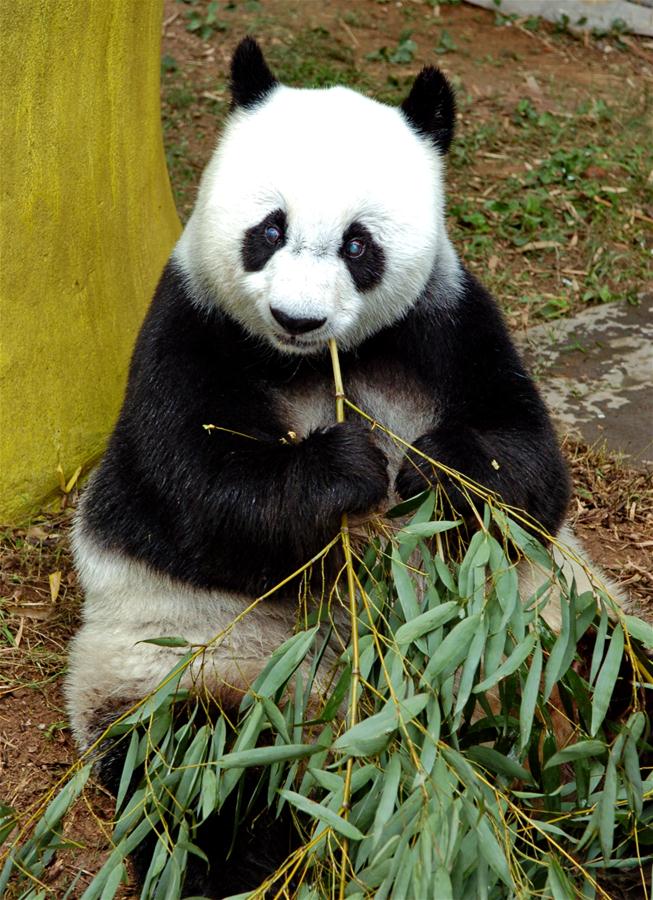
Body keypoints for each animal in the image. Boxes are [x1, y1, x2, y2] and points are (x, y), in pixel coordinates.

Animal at [67, 37, 590, 896]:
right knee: (204, 775)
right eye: (268, 230)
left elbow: (530, 466)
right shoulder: (187, 329)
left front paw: (436, 470)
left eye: (357, 244)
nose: (297, 317)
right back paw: (251, 856)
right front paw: (345, 470)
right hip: (193, 664)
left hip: (547, 624)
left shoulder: (447, 319)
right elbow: (194, 495)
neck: (318, 362)